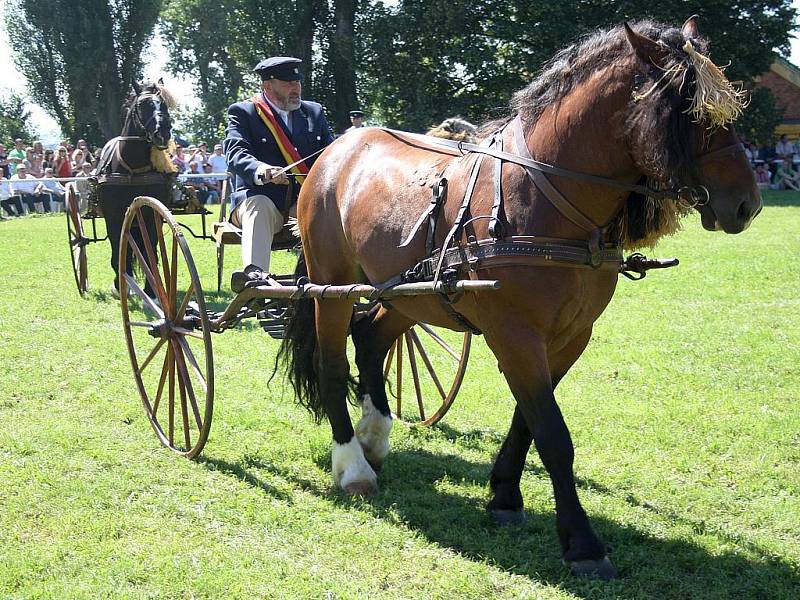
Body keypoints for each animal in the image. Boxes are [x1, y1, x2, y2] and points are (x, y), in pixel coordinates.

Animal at [94, 79, 177, 296]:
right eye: (142, 105)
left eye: (164, 104)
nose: (162, 133)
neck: (133, 168)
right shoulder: (113, 217)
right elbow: (118, 248)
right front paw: (121, 284)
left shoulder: (151, 214)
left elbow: (150, 252)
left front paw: (151, 289)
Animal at [278, 18, 760, 580]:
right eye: (688, 110)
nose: (747, 204)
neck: (547, 198)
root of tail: (335, 151)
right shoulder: (515, 335)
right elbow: (552, 434)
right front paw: (583, 543)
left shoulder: (570, 336)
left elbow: (527, 420)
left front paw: (505, 495)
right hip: (330, 286)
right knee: (333, 365)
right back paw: (353, 464)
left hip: (402, 292)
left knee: (372, 341)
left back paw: (374, 436)